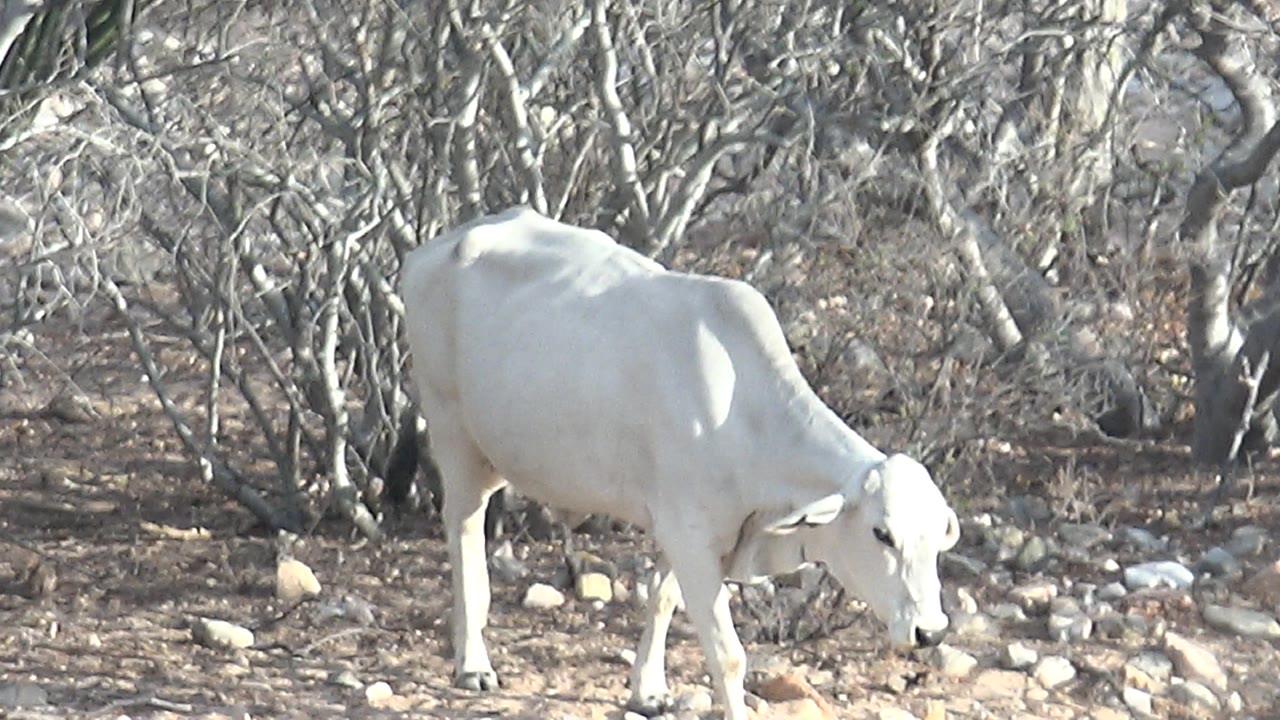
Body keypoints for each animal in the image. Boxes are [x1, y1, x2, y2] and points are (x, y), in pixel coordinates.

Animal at [392, 206, 960, 719]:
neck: (745, 418)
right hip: (455, 439)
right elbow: (728, 656)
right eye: (882, 533)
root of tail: (433, 249)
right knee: (464, 537)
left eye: (938, 537)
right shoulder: (692, 538)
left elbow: (662, 601)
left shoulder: (680, 529)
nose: (929, 631)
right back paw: (473, 664)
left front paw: (648, 691)